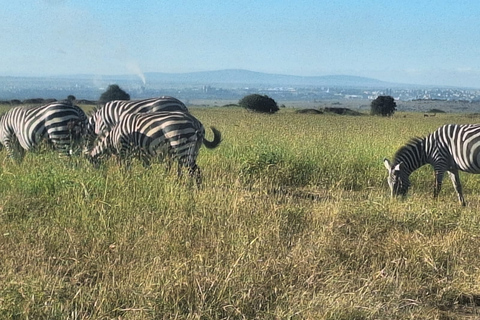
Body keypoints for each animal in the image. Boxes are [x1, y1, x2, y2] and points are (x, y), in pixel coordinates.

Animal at [86, 110, 221, 184]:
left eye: (93, 164)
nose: (99, 177)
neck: (112, 137)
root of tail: (195, 122)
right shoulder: (142, 152)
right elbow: (147, 167)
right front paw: (147, 180)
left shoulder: (124, 149)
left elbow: (125, 168)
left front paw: (125, 180)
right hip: (193, 149)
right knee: (191, 169)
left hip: (181, 144)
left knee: (194, 170)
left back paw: (194, 189)